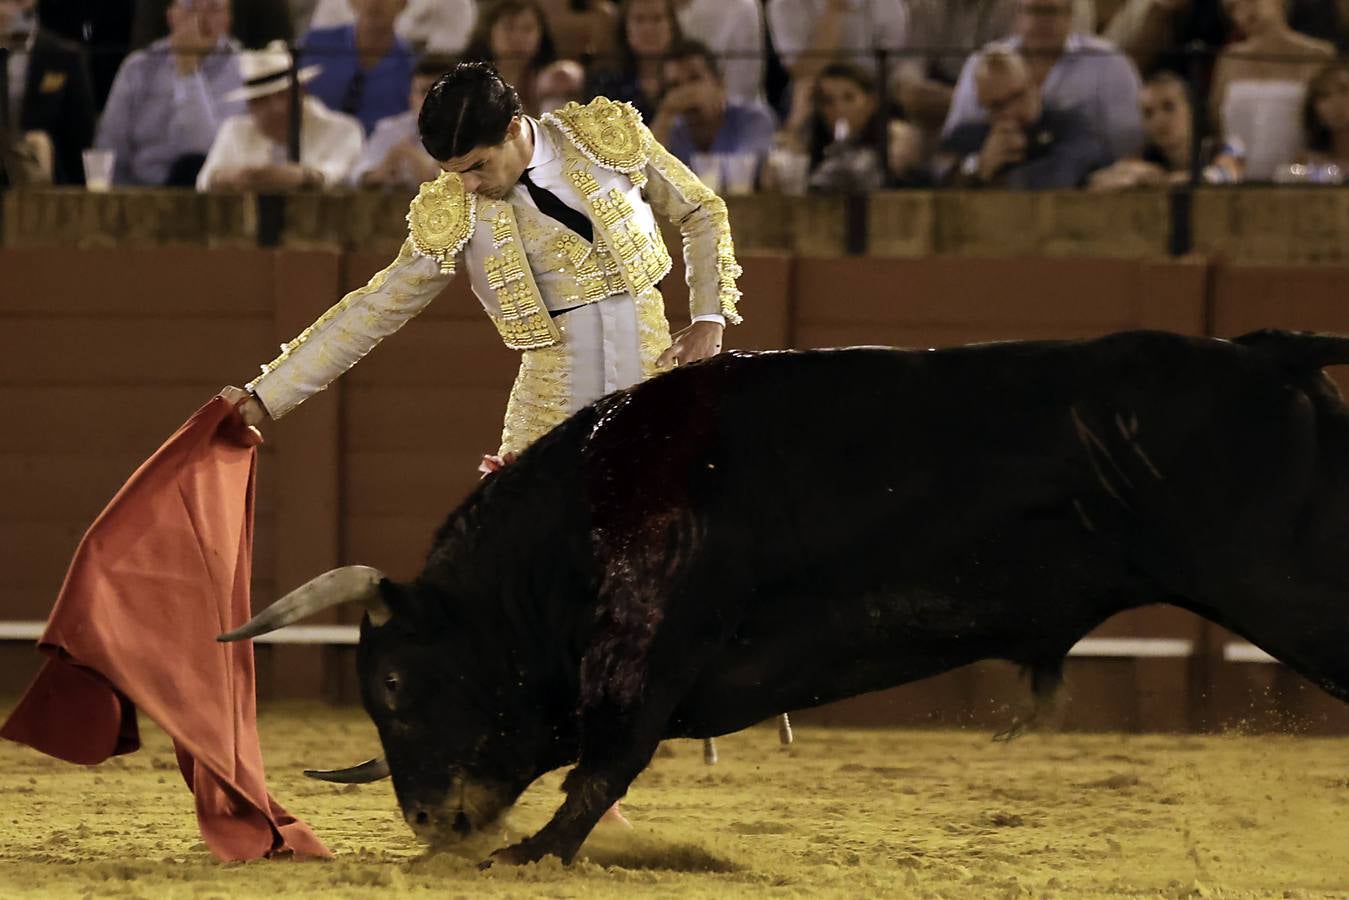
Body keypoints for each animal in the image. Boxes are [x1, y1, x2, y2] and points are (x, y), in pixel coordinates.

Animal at [221, 329, 1349, 863]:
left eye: (395, 684)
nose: (433, 822)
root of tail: (1265, 352)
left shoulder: (647, 648)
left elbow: (602, 765)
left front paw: (527, 855)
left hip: (1292, 584)